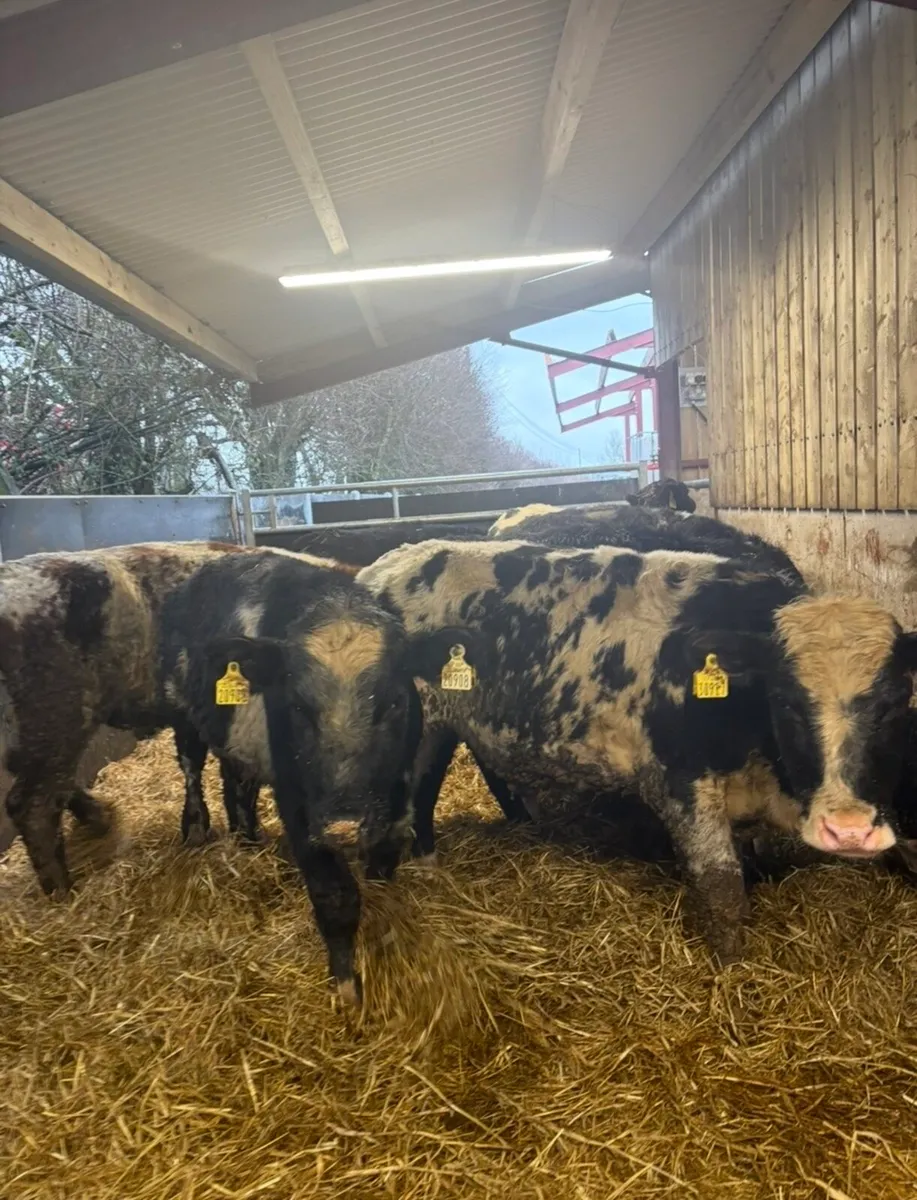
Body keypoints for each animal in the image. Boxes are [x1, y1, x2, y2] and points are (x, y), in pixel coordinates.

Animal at [158, 547, 467, 1005]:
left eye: (393, 703)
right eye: (297, 706)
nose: (343, 826)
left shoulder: (395, 801)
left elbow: (382, 872)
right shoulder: (299, 807)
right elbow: (333, 895)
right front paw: (346, 985)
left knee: (237, 786)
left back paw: (247, 841)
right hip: (181, 711)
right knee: (191, 767)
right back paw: (195, 827)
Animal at [359, 538, 917, 965]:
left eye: (896, 704)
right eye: (786, 702)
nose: (848, 830)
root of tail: (389, 563)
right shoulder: (680, 784)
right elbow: (723, 888)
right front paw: (732, 974)